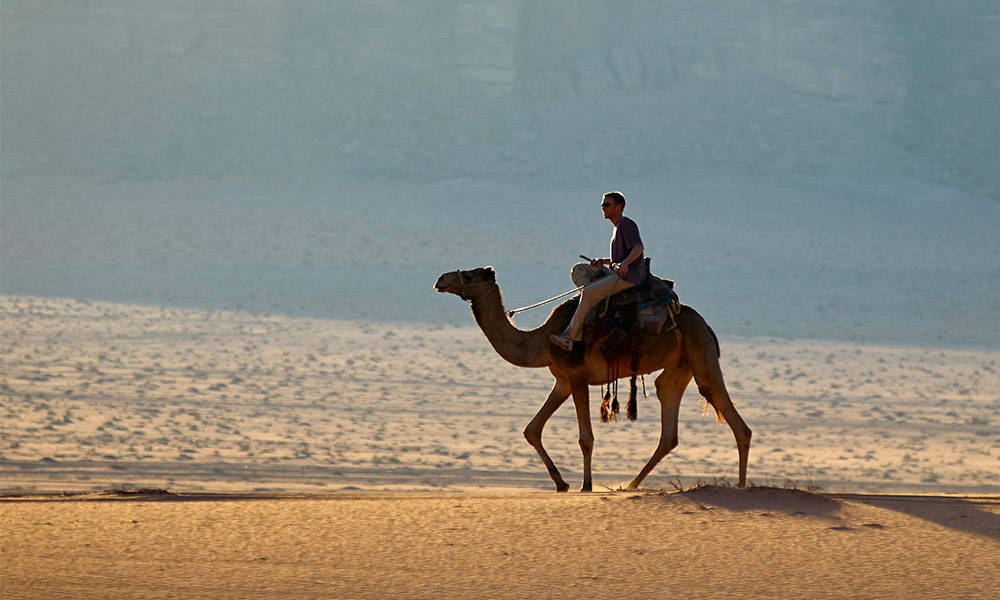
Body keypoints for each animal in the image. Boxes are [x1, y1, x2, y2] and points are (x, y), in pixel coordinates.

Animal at [434, 268, 752, 492]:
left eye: (470, 274)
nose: (440, 280)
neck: (542, 341)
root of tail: (707, 325)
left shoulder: (577, 379)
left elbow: (585, 438)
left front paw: (585, 485)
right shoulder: (562, 381)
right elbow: (532, 429)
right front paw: (560, 483)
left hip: (701, 353)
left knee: (731, 415)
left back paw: (739, 486)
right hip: (679, 366)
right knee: (668, 419)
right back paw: (631, 484)